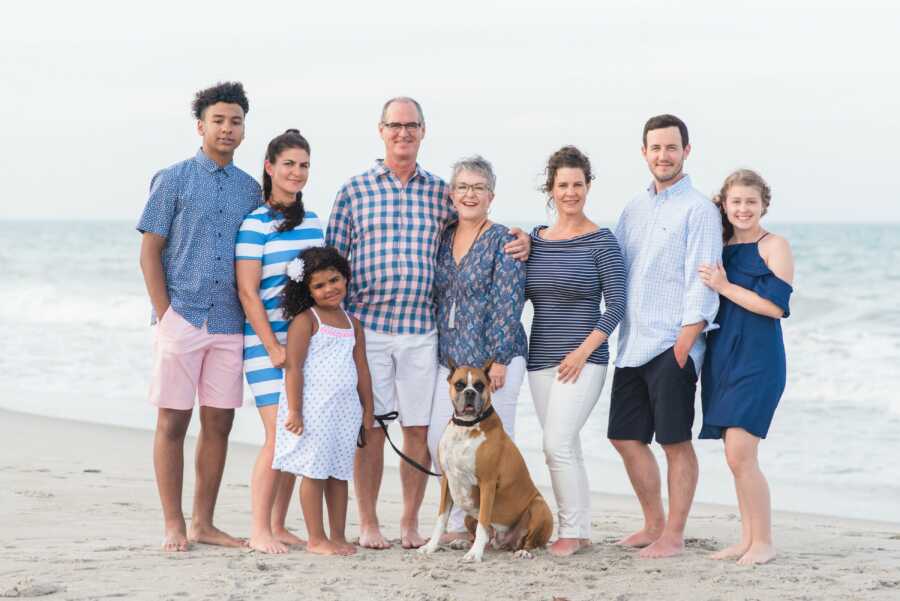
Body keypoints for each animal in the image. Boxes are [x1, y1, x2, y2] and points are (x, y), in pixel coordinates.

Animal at [418, 358, 552, 560]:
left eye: (480, 385)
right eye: (459, 384)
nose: (470, 392)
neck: (467, 426)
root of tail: (505, 543)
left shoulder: (487, 484)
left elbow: (483, 522)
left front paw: (475, 554)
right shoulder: (447, 480)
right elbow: (441, 519)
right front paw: (431, 546)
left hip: (539, 506)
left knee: (529, 541)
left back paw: (523, 551)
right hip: (468, 514)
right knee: (486, 537)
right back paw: (464, 542)